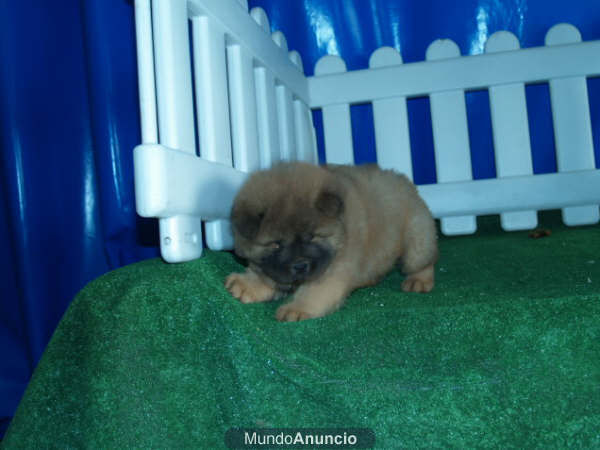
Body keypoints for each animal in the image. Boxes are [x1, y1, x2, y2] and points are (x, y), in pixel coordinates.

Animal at [225, 163, 436, 322]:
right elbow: (266, 275)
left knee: (424, 262)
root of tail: (403, 180)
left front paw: (296, 309)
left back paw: (418, 281)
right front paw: (246, 284)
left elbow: (314, 293)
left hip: (416, 242)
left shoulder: (333, 271)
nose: (300, 265)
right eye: (276, 245)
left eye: (312, 237)